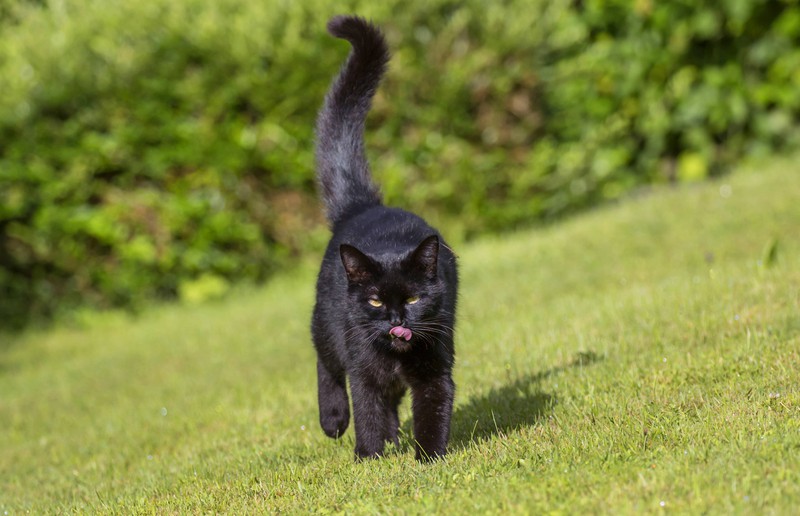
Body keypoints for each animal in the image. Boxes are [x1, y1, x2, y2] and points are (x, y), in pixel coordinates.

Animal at [314, 16, 462, 462]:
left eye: (413, 298)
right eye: (377, 301)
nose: (397, 321)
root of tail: (363, 206)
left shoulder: (436, 368)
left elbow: (433, 409)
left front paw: (428, 459)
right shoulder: (363, 370)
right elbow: (367, 411)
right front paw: (369, 458)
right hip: (326, 325)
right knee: (326, 366)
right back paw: (332, 420)